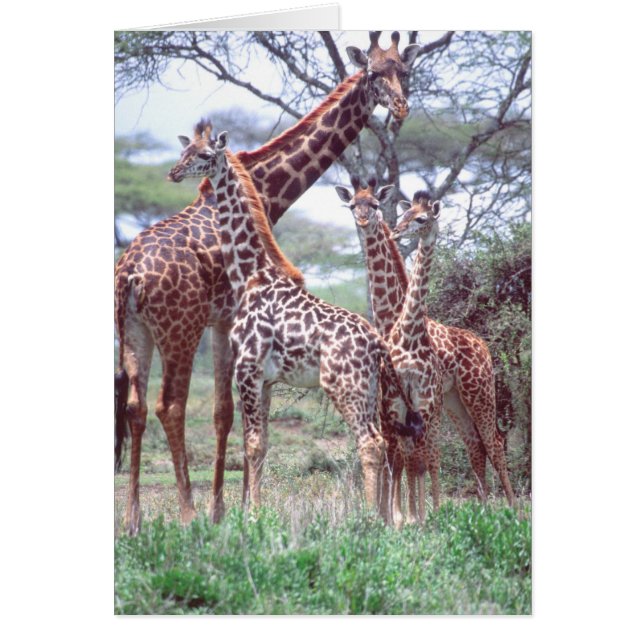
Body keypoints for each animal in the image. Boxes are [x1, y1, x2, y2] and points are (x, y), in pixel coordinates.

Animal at [165, 126, 423, 512]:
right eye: (186, 150)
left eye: (205, 155)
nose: (174, 172)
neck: (251, 275)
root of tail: (377, 343)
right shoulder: (267, 380)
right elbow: (261, 446)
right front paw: (253, 510)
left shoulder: (248, 369)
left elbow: (252, 444)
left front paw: (254, 514)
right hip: (371, 390)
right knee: (385, 442)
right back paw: (382, 515)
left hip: (345, 386)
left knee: (370, 443)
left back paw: (369, 517)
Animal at [335, 180, 516, 508]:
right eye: (353, 204)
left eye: (375, 204)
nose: (365, 221)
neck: (393, 318)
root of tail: (483, 345)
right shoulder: (389, 403)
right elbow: (398, 457)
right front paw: (393, 512)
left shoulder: (421, 403)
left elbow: (421, 457)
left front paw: (418, 512)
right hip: (455, 401)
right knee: (474, 445)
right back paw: (484, 508)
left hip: (479, 393)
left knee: (492, 442)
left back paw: (513, 510)